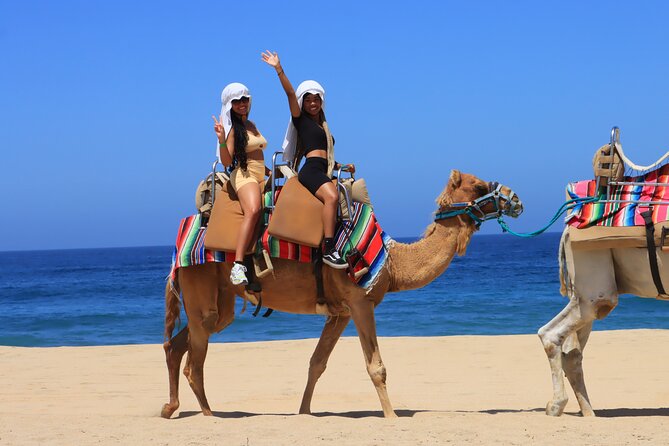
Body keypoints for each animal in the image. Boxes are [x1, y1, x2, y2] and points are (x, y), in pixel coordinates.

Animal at [161, 169, 522, 419]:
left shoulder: (341, 311)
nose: (514, 197)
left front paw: (304, 413)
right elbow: (376, 367)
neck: (393, 262)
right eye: (478, 186)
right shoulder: (361, 302)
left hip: (219, 300)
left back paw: (170, 408)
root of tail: (182, 235)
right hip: (200, 284)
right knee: (194, 362)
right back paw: (209, 416)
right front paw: (392, 417)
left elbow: (316, 363)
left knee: (177, 344)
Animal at [538, 227, 669, 416]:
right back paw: (556, 406)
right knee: (551, 334)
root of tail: (568, 229)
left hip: (584, 296)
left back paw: (588, 413)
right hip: (595, 284)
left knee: (572, 353)